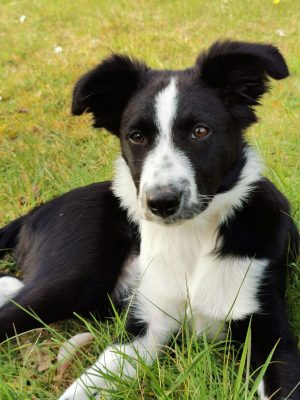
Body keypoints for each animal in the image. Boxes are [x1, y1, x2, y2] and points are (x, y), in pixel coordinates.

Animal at [0, 41, 298, 400]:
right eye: (137, 136)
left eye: (200, 131)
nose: (161, 202)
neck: (191, 240)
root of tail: (38, 210)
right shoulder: (142, 332)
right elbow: (79, 388)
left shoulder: (272, 341)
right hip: (75, 278)